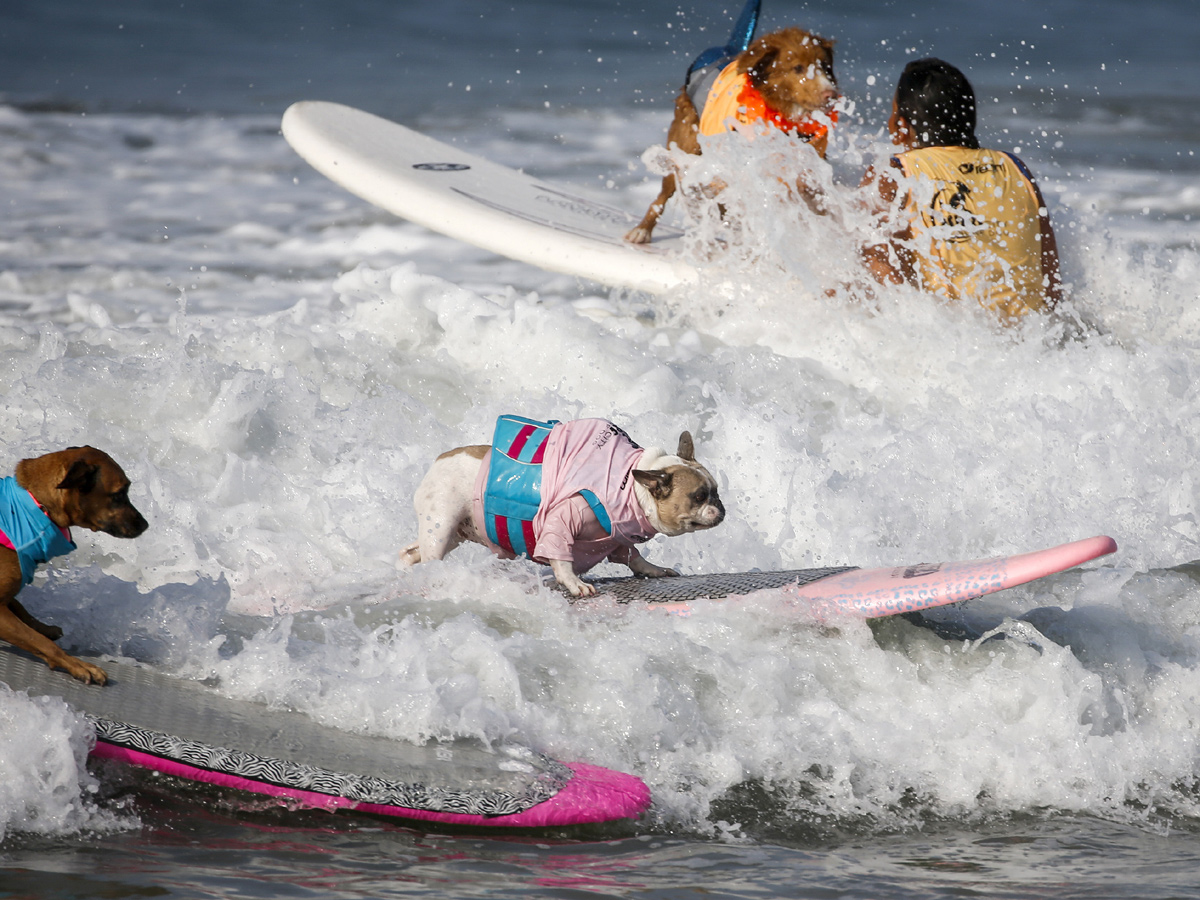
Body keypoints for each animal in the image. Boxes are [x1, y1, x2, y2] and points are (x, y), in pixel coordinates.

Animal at [0, 448, 148, 686]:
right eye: (118, 494)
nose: (145, 525)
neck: (37, 506)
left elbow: (21, 609)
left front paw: (44, 627)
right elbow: (41, 642)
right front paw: (79, 665)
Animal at [400, 422, 720, 600]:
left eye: (716, 489)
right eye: (699, 496)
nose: (721, 508)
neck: (632, 487)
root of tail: (440, 459)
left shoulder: (618, 540)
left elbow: (634, 557)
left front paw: (654, 570)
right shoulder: (562, 521)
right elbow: (561, 556)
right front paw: (574, 584)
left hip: (455, 531)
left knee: (410, 552)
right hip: (441, 523)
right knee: (431, 555)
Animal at [624, 28, 840, 247]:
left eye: (825, 67)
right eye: (798, 68)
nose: (831, 95)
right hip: (685, 144)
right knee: (663, 195)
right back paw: (642, 230)